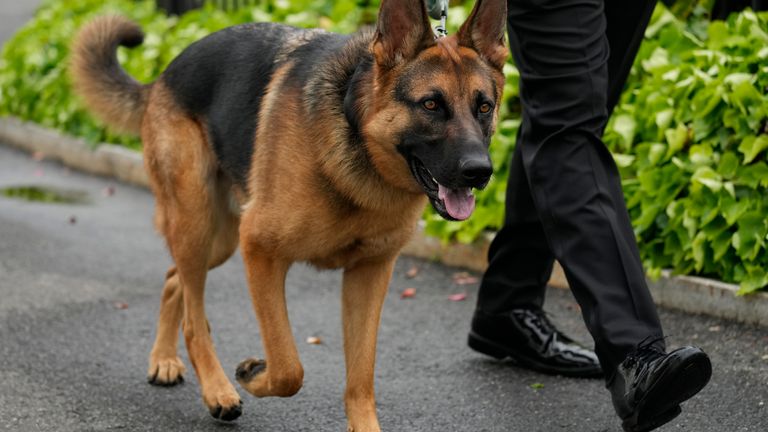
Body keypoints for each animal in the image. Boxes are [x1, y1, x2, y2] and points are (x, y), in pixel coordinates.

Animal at [70, 0, 504, 428]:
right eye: (431, 104)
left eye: (484, 107)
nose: (480, 172)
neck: (357, 136)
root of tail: (164, 73)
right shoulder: (261, 251)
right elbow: (288, 368)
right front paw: (252, 375)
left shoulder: (369, 274)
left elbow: (361, 378)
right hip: (199, 225)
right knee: (194, 321)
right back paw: (217, 390)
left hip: (219, 241)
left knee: (173, 278)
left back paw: (163, 359)